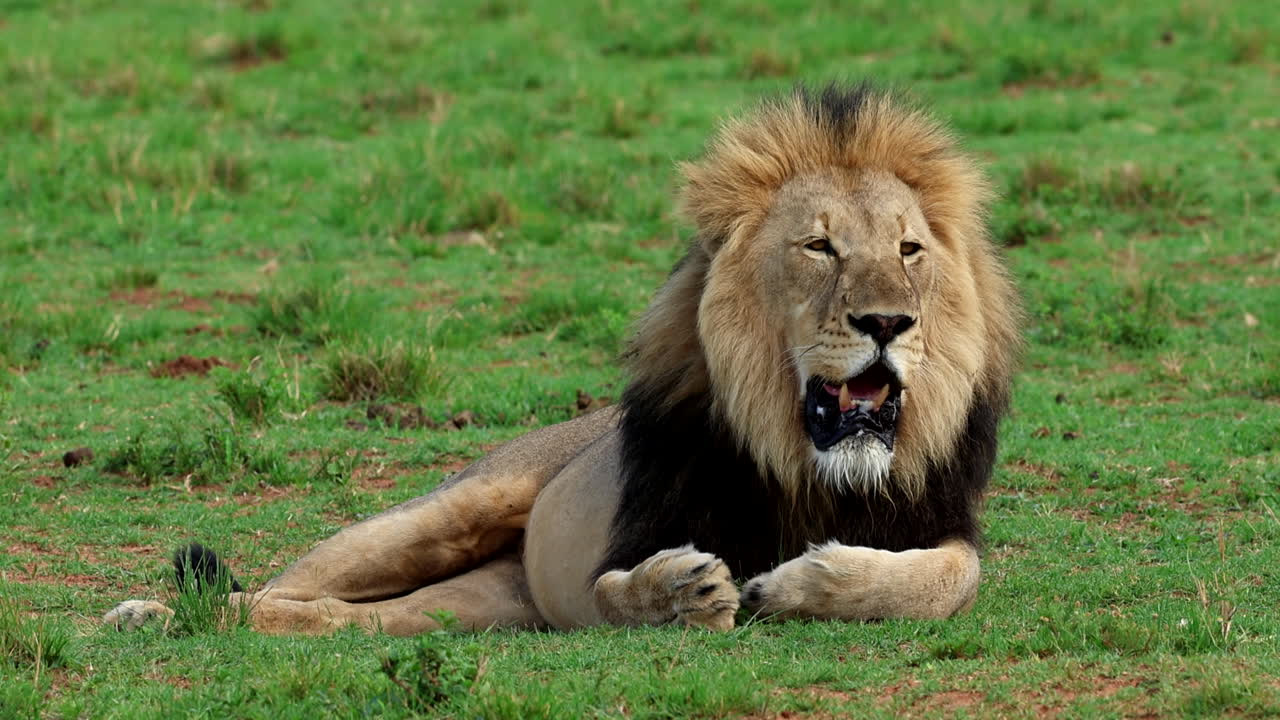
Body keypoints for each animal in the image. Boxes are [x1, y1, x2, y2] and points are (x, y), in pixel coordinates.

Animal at [105, 84, 1021, 635]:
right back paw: (153, 616)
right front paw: (679, 594)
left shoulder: (937, 524)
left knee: (337, 617)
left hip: (473, 606)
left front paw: (798, 584)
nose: (887, 321)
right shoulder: (623, 543)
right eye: (819, 246)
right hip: (444, 510)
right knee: (264, 591)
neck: (806, 467)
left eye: (908, 250)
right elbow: (618, 591)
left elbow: (947, 578)